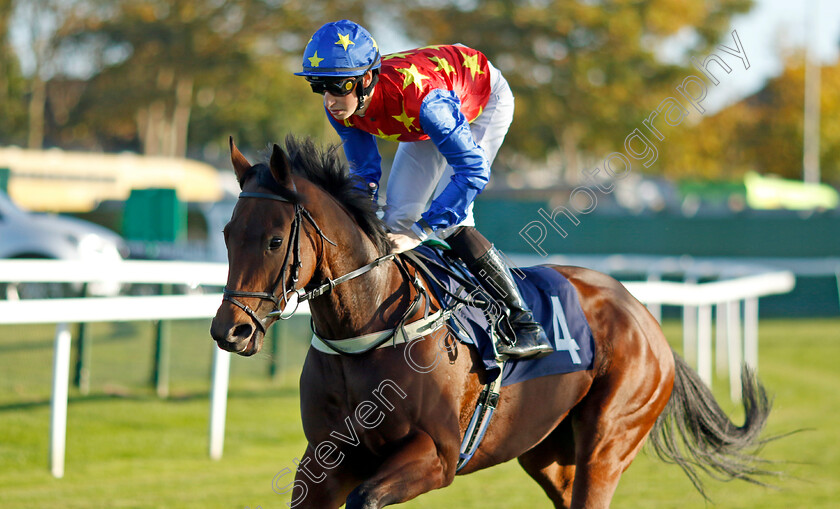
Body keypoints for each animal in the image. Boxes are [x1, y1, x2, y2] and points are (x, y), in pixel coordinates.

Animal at [210, 136, 776, 508]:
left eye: (275, 240)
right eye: (227, 233)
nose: (229, 330)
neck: (369, 333)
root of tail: (646, 317)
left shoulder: (437, 456)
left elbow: (367, 497)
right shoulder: (324, 459)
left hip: (609, 442)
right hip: (546, 451)